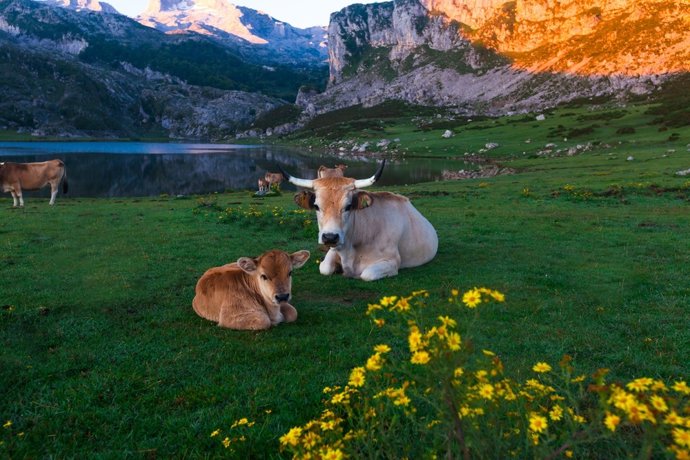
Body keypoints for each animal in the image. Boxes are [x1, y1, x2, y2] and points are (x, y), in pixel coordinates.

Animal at [279, 160, 438, 281]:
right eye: (316, 206)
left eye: (348, 206)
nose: (330, 237)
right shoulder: (333, 250)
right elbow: (324, 268)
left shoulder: (392, 262)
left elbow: (367, 274)